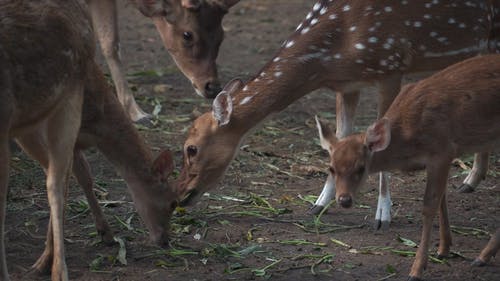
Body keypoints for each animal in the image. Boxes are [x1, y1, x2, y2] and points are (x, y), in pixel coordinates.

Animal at [0, 1, 178, 278]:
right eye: (172, 203)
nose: (165, 241)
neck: (98, 122)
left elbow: (81, 178)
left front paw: (106, 233)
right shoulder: (58, 130)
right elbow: (69, 180)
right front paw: (45, 260)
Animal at [175, 0, 500, 230]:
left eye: (191, 148)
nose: (180, 194)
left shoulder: (391, 65)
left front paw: (383, 215)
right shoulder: (347, 84)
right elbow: (339, 137)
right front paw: (318, 204)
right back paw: (470, 181)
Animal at [316, 54, 500, 280]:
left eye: (361, 168)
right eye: (331, 168)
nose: (344, 200)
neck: (408, 136)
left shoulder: (443, 150)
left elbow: (429, 206)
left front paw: (417, 268)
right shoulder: (439, 159)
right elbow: (442, 199)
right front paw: (444, 248)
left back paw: (483, 256)